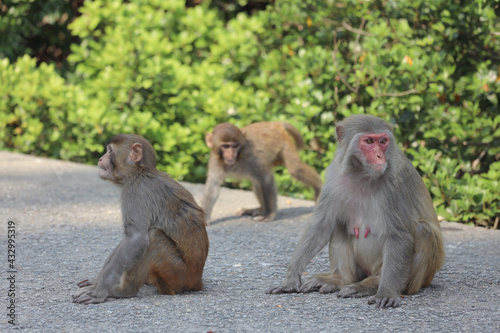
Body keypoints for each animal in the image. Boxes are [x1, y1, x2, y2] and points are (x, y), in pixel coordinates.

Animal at [72, 134, 209, 302]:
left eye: (109, 151)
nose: (100, 158)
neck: (139, 172)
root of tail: (197, 281)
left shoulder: (135, 191)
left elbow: (136, 238)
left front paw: (100, 291)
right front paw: (96, 282)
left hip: (178, 275)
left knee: (154, 237)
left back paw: (124, 291)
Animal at [268, 115, 444, 308]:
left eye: (383, 141)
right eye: (369, 141)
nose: (379, 156)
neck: (362, 175)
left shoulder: (396, 183)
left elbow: (399, 236)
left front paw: (387, 292)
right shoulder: (334, 177)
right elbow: (321, 228)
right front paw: (290, 279)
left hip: (417, 277)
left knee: (423, 230)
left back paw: (371, 285)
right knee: (338, 225)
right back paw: (340, 280)